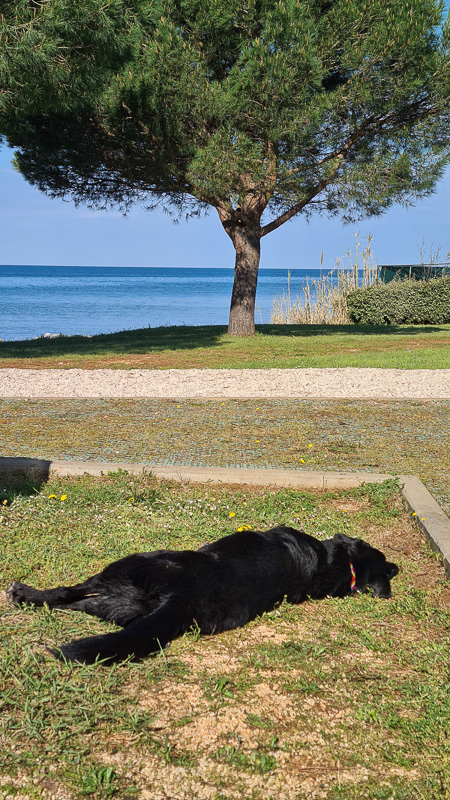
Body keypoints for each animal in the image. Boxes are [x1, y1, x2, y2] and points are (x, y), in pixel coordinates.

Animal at [7, 524, 400, 664]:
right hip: (117, 602)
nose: (397, 567)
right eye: (384, 559)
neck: (329, 565)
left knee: (65, 593)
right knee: (73, 604)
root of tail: (184, 597)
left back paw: (23, 594)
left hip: (129, 564)